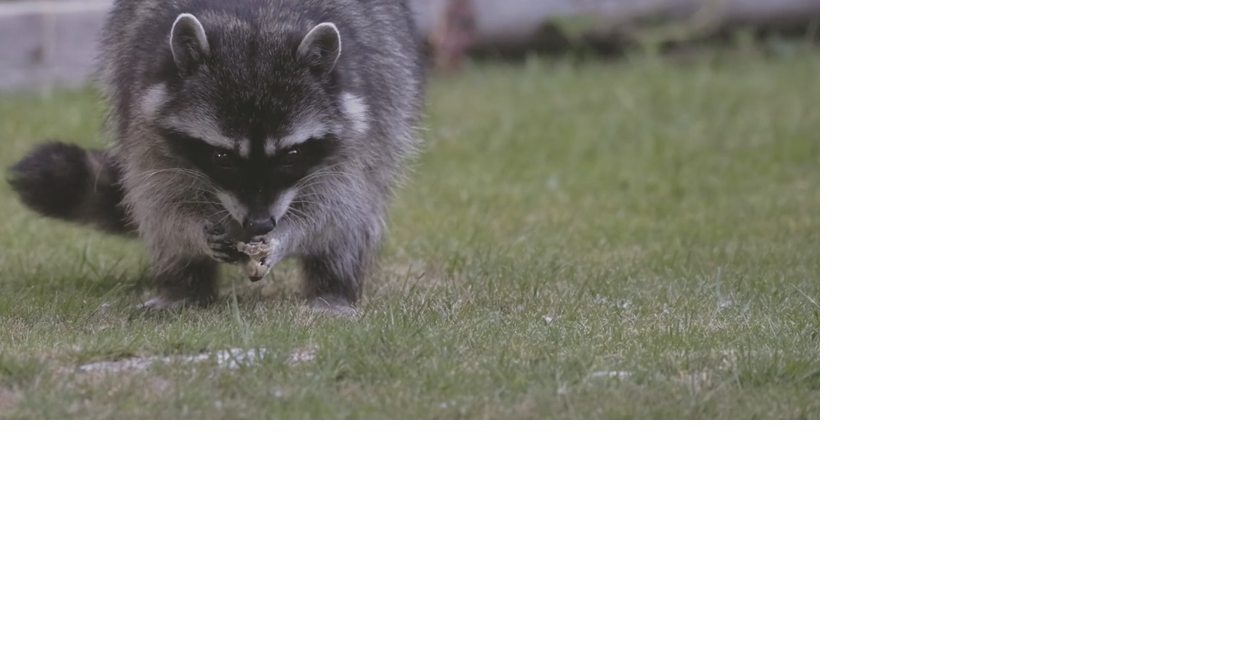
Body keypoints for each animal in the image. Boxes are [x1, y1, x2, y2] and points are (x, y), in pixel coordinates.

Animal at [6, 0, 426, 311]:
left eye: (291, 154)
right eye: (222, 157)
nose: (259, 224)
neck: (257, 24)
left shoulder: (364, 120)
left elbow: (338, 204)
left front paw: (288, 236)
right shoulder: (141, 108)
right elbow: (160, 200)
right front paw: (192, 232)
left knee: (354, 221)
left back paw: (332, 286)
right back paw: (182, 288)